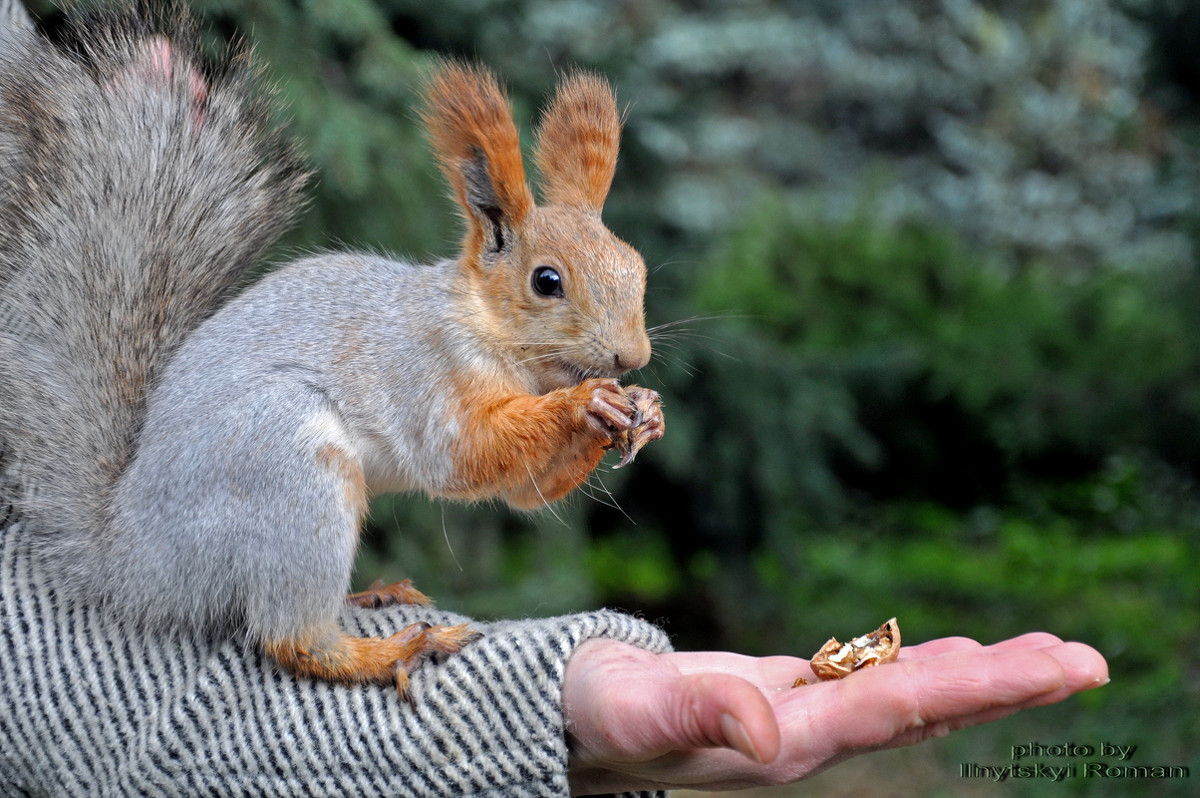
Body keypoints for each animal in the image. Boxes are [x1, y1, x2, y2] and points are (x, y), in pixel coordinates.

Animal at [0, 4, 667, 691]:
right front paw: (586, 403)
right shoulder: (425, 374)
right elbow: (466, 455)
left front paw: (643, 409)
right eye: (547, 281)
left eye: (636, 265)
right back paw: (391, 650)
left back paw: (371, 597)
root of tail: (131, 560)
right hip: (290, 469)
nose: (633, 357)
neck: (487, 328)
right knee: (289, 639)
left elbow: (524, 492)